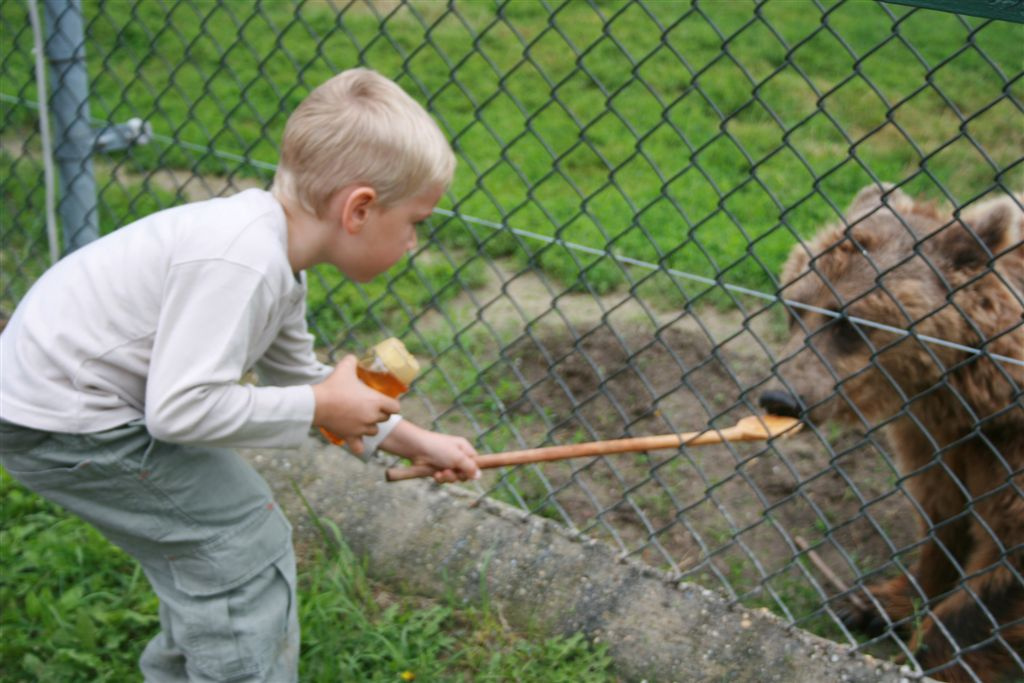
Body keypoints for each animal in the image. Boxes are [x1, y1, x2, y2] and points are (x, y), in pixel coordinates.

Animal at [765, 184, 1019, 683]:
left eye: (848, 321)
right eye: (795, 309)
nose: (780, 397)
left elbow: (997, 580)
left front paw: (925, 658)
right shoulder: (937, 439)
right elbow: (945, 521)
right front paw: (876, 603)